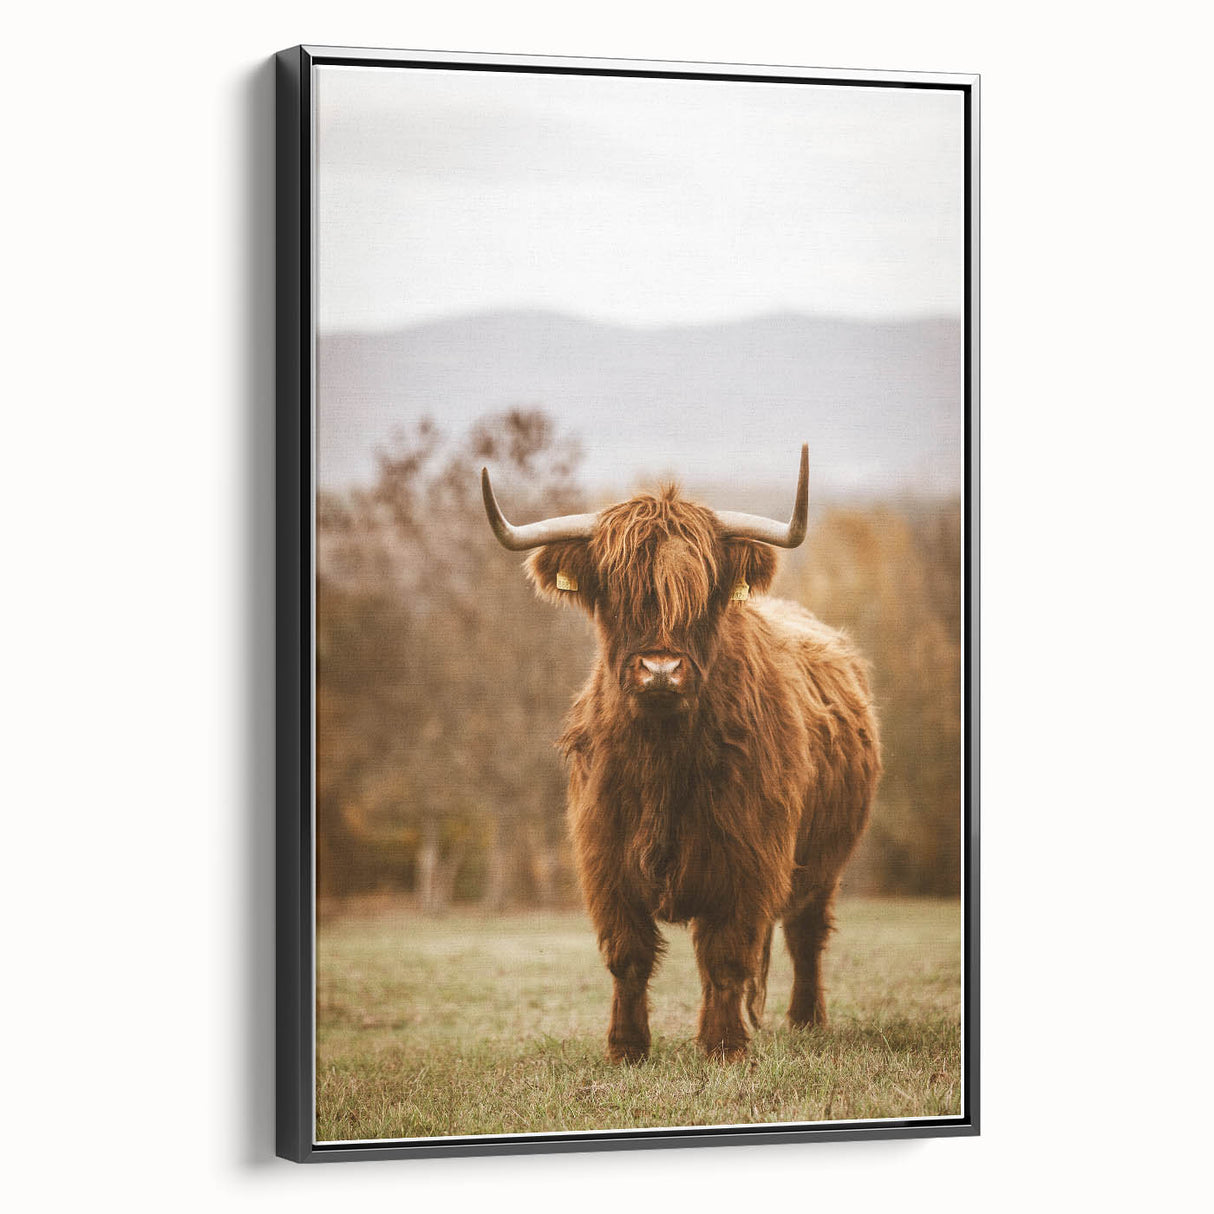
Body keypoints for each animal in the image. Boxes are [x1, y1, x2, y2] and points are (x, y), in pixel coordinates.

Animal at [481, 446, 881, 1062]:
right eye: (615, 591)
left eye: (703, 593)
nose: (661, 669)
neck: (662, 757)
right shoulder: (605, 857)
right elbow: (628, 955)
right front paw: (626, 1047)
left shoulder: (748, 856)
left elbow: (726, 953)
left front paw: (723, 1046)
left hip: (824, 861)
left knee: (805, 933)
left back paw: (806, 1021)